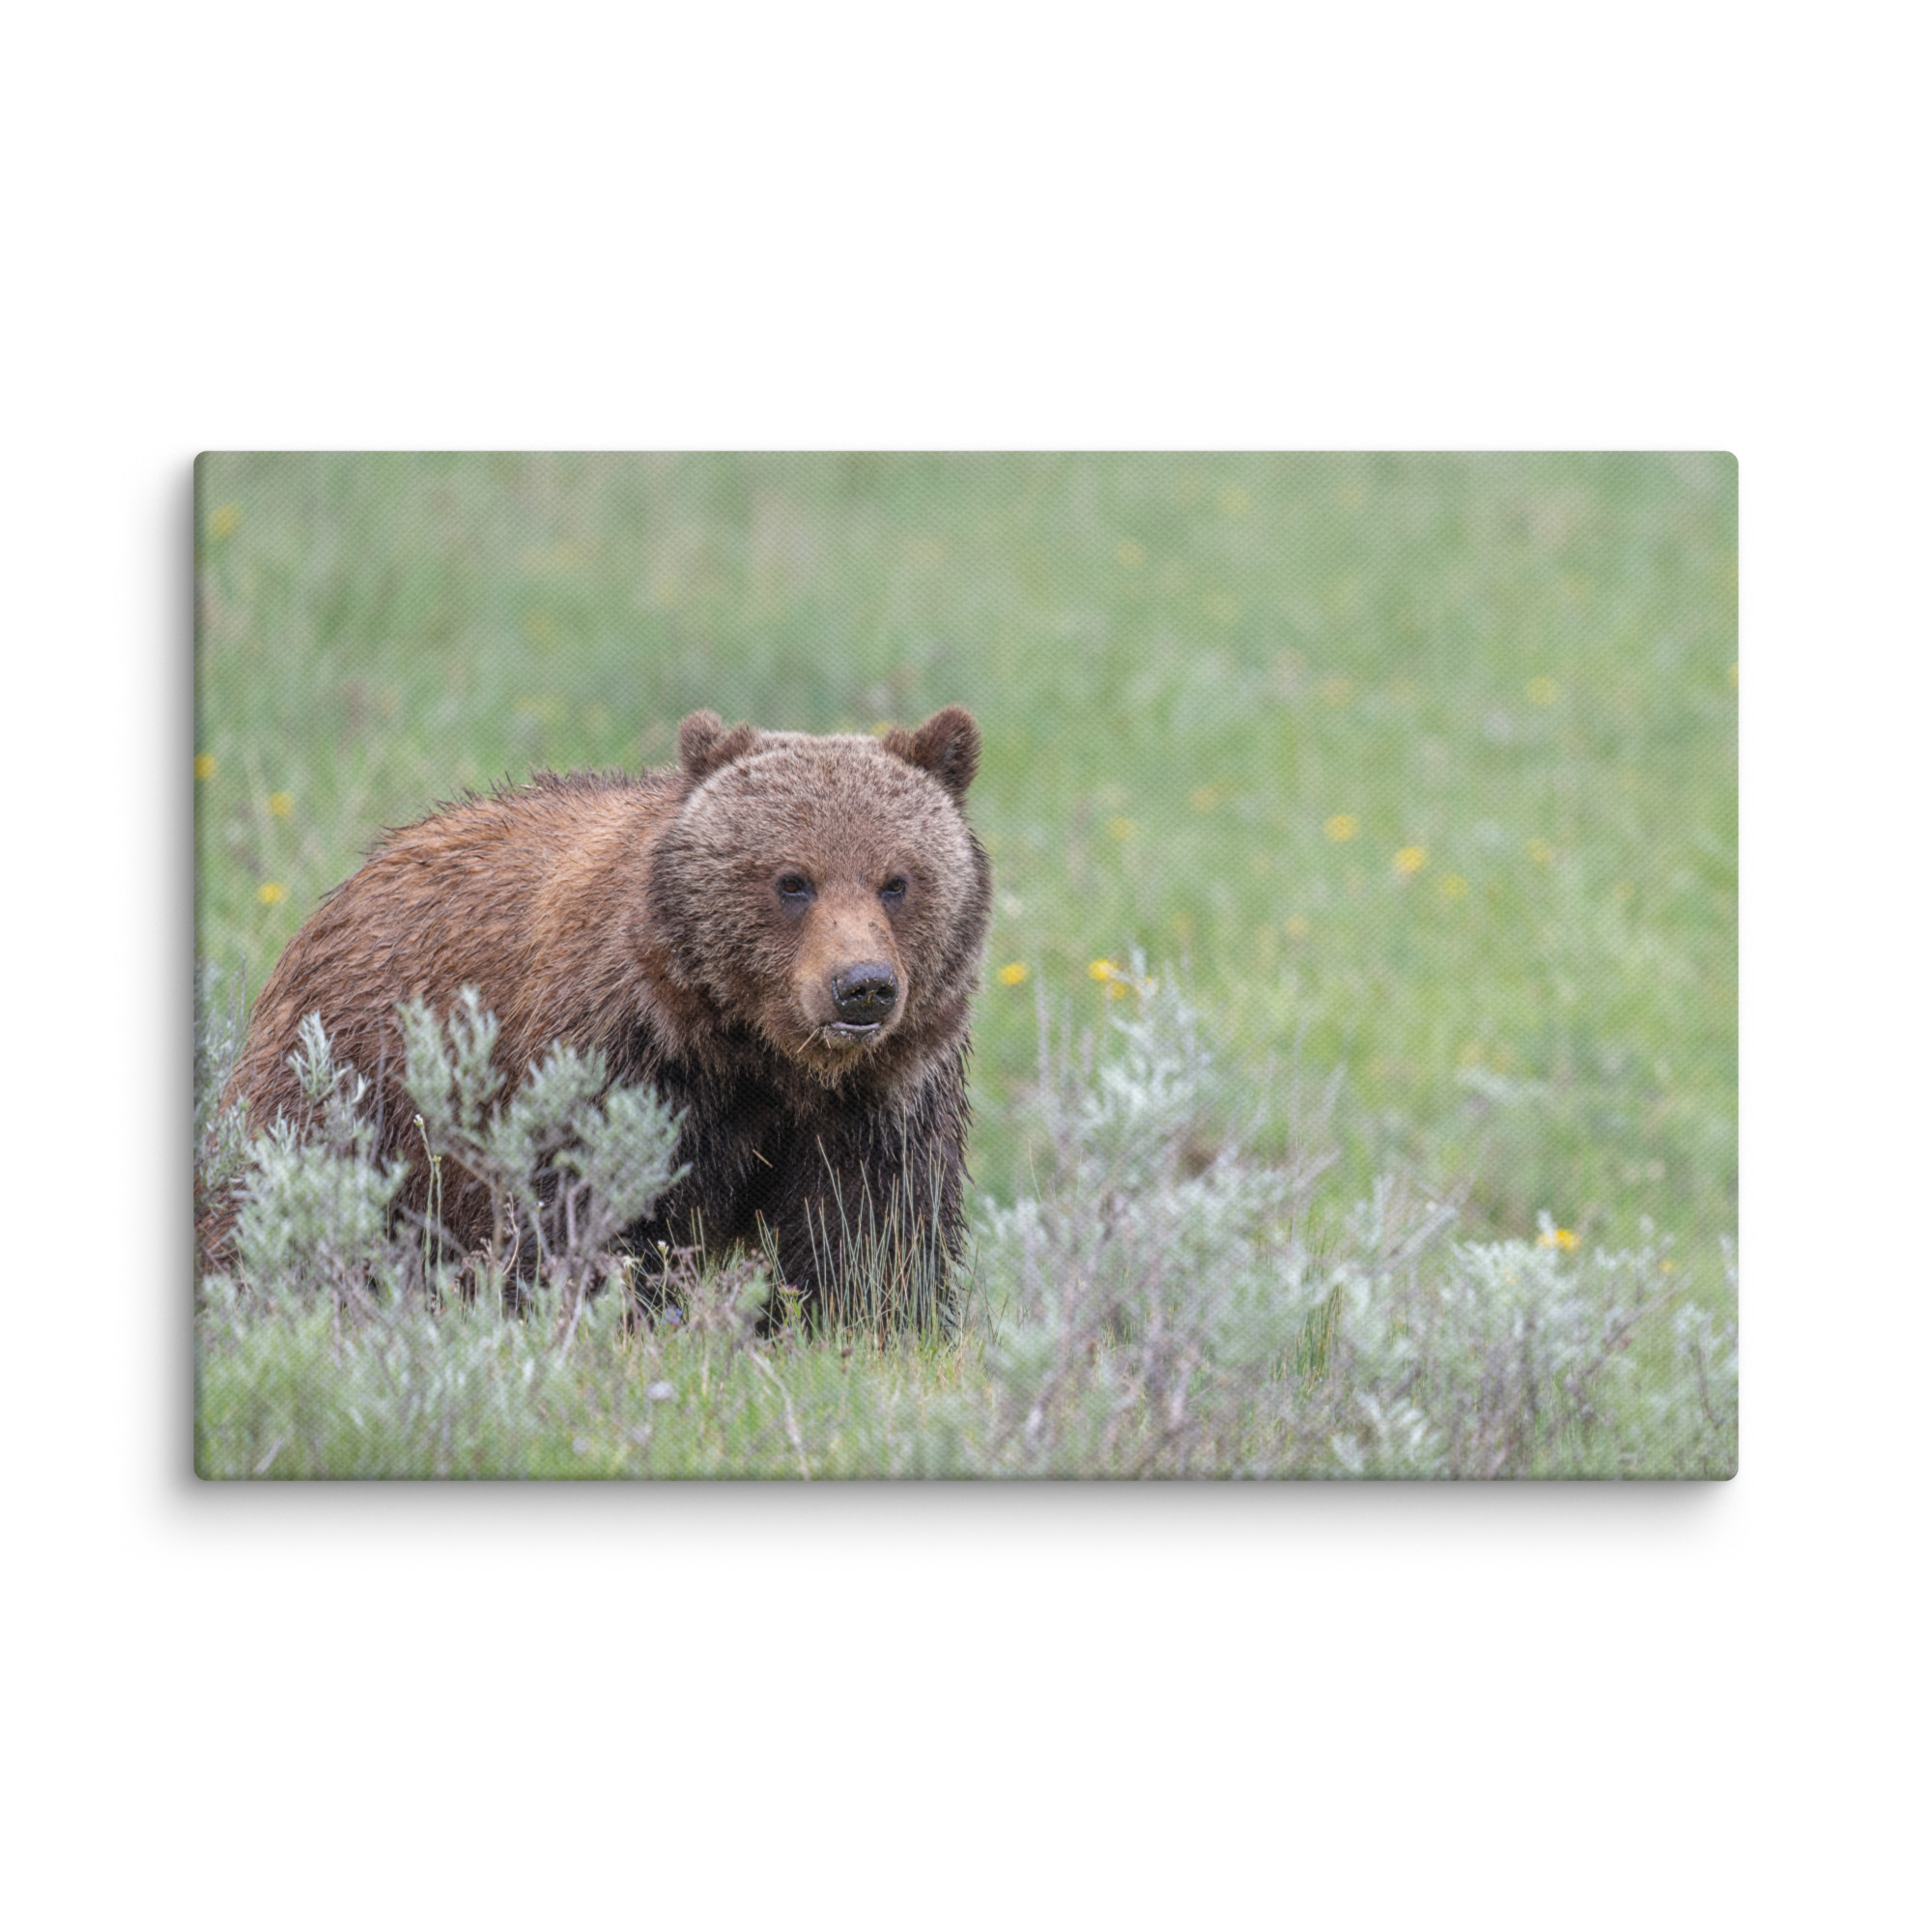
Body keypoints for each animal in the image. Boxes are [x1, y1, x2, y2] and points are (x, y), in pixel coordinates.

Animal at [213, 706, 991, 1320]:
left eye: (897, 880)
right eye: (792, 880)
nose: (862, 986)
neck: (759, 1054)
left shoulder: (880, 1098)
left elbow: (870, 1236)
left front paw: (859, 1326)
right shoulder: (623, 1061)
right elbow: (586, 1215)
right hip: (354, 1082)